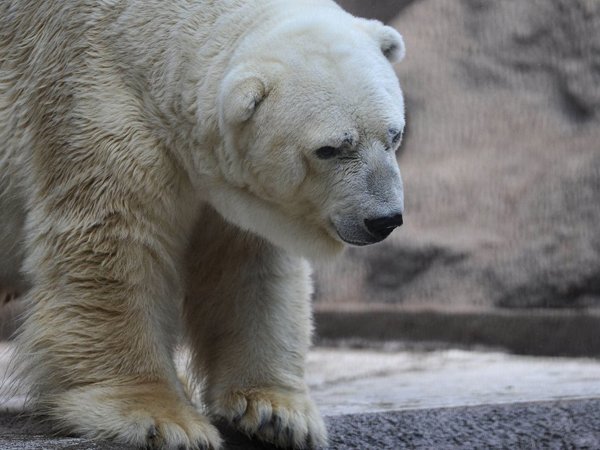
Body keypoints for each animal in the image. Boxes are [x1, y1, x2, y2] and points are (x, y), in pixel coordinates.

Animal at [0, 0, 406, 448]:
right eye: (329, 148)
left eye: (394, 135)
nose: (384, 219)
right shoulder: (92, 101)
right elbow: (113, 246)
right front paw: (162, 418)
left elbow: (248, 264)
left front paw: (277, 413)